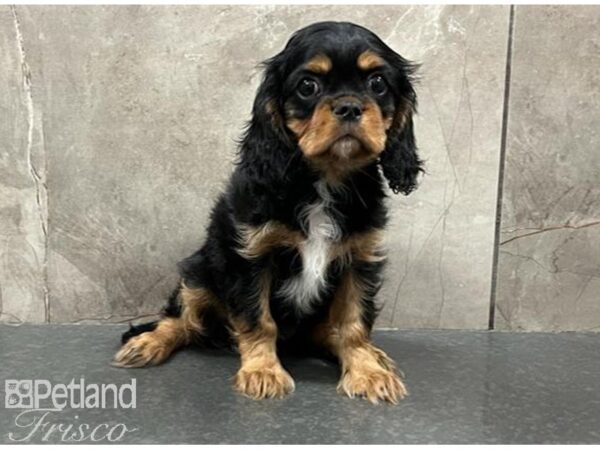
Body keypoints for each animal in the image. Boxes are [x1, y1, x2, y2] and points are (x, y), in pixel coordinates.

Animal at [113, 21, 422, 404]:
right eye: (308, 86)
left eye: (377, 83)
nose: (349, 107)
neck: (325, 179)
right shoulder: (250, 255)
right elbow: (259, 320)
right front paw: (262, 371)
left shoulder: (360, 257)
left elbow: (353, 324)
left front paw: (367, 371)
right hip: (199, 272)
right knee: (183, 320)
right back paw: (148, 343)